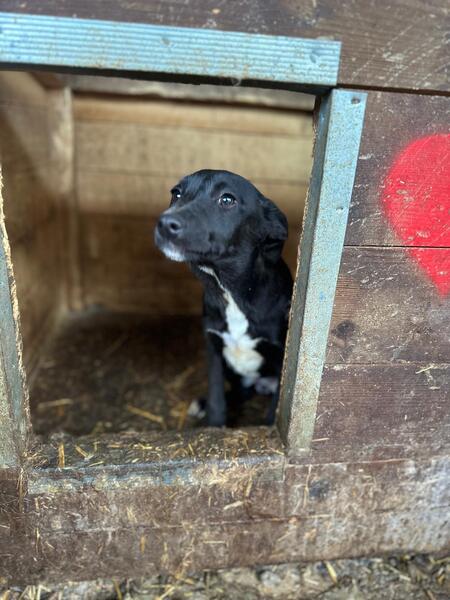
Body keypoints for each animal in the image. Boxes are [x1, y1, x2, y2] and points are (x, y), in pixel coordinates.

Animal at [155, 169, 293, 426]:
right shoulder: (214, 349)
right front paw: (214, 424)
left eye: (227, 199)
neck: (230, 291)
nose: (165, 224)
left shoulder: (282, 358)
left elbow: (274, 409)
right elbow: (217, 397)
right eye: (176, 193)